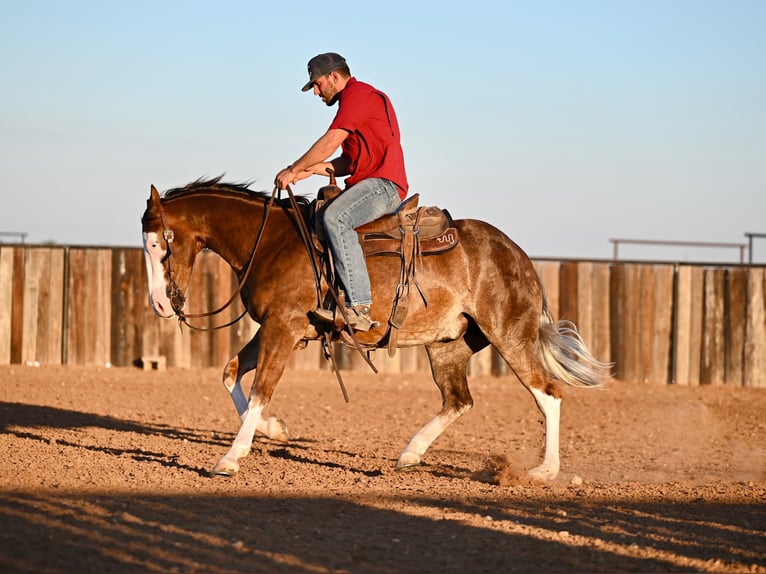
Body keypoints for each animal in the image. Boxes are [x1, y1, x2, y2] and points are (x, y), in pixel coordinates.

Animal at [142, 178, 612, 484]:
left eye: (160, 243)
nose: (161, 305)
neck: (273, 242)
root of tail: (518, 255)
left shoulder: (283, 328)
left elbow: (260, 388)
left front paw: (230, 458)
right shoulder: (275, 329)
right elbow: (230, 373)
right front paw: (273, 431)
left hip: (509, 334)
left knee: (547, 392)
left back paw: (544, 471)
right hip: (447, 344)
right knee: (458, 400)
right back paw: (410, 454)